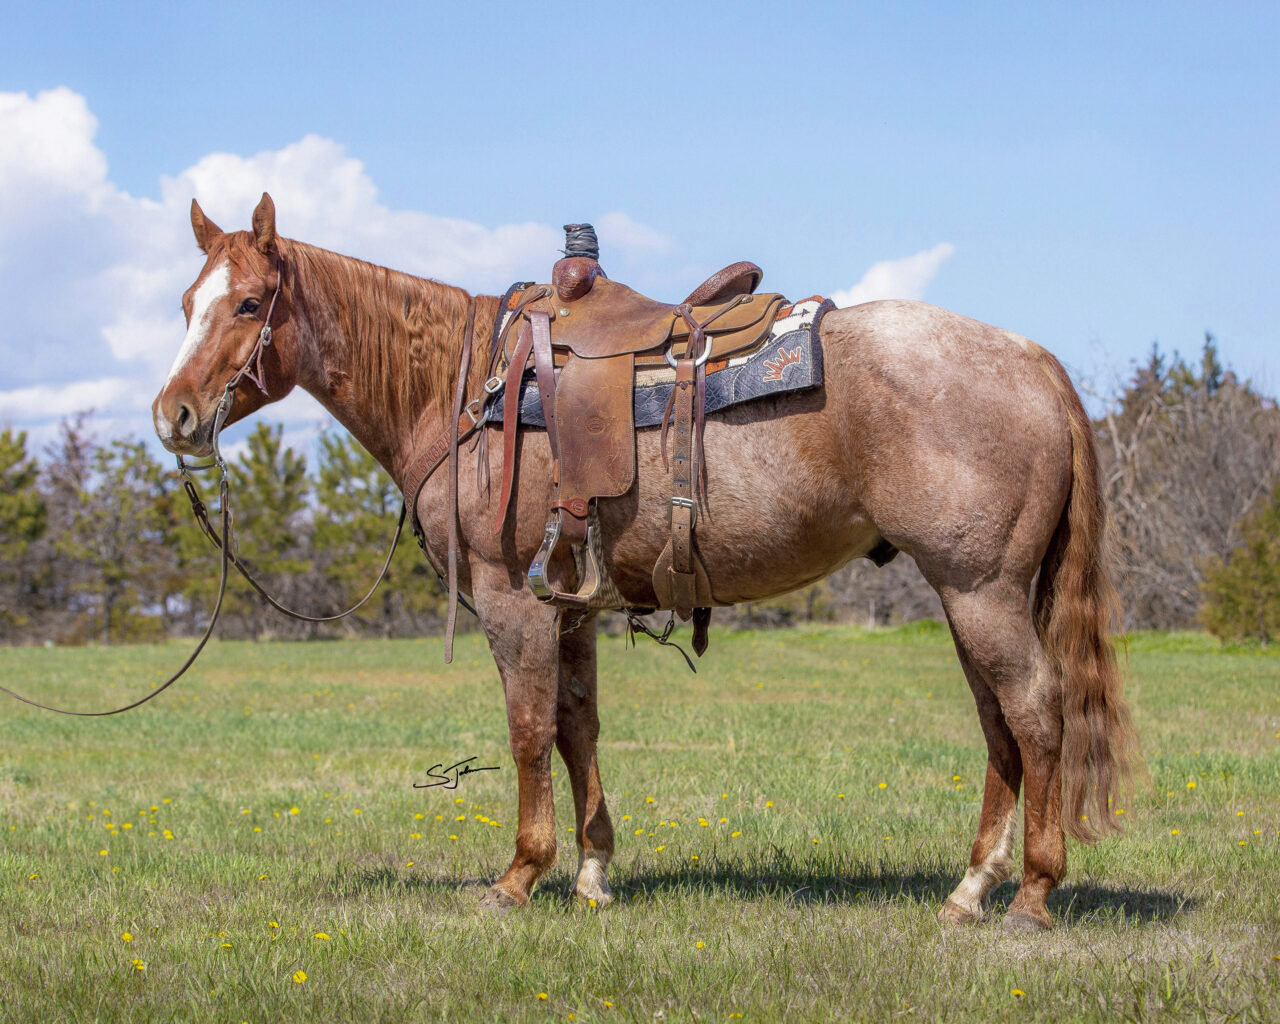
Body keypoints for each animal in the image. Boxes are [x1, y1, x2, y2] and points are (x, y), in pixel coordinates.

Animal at [152, 192, 1136, 932]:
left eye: (248, 305)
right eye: (185, 305)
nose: (174, 416)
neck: (464, 393)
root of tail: (1033, 359)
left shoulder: (512, 602)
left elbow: (526, 731)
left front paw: (519, 877)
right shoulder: (571, 606)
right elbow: (576, 728)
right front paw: (592, 872)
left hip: (981, 591)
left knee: (1035, 714)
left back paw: (1033, 896)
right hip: (970, 595)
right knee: (1000, 729)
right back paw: (971, 889)